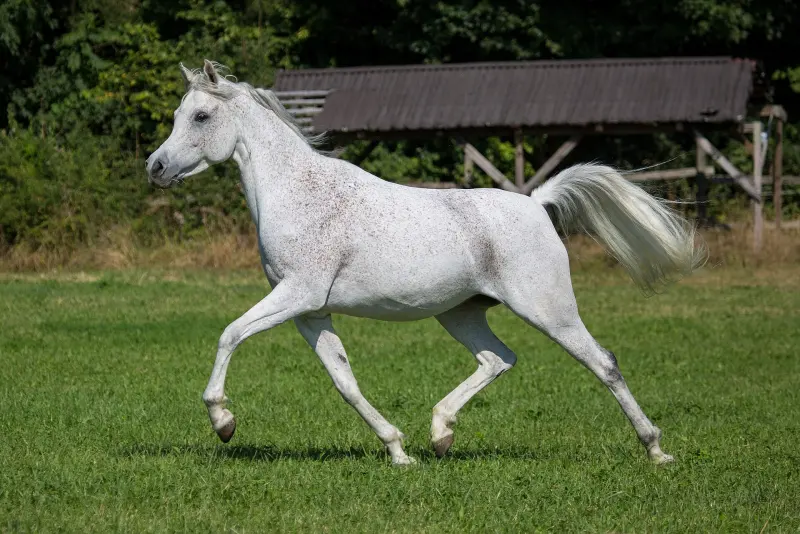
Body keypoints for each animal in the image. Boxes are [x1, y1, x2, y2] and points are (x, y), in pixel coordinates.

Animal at [146, 60, 705, 466]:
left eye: (200, 117)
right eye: (178, 114)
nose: (156, 166)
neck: (299, 193)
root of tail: (536, 203)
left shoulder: (297, 295)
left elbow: (230, 334)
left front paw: (223, 422)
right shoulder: (309, 311)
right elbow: (345, 382)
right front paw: (398, 451)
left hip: (548, 309)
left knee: (603, 362)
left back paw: (656, 450)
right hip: (460, 313)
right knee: (499, 359)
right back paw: (440, 434)